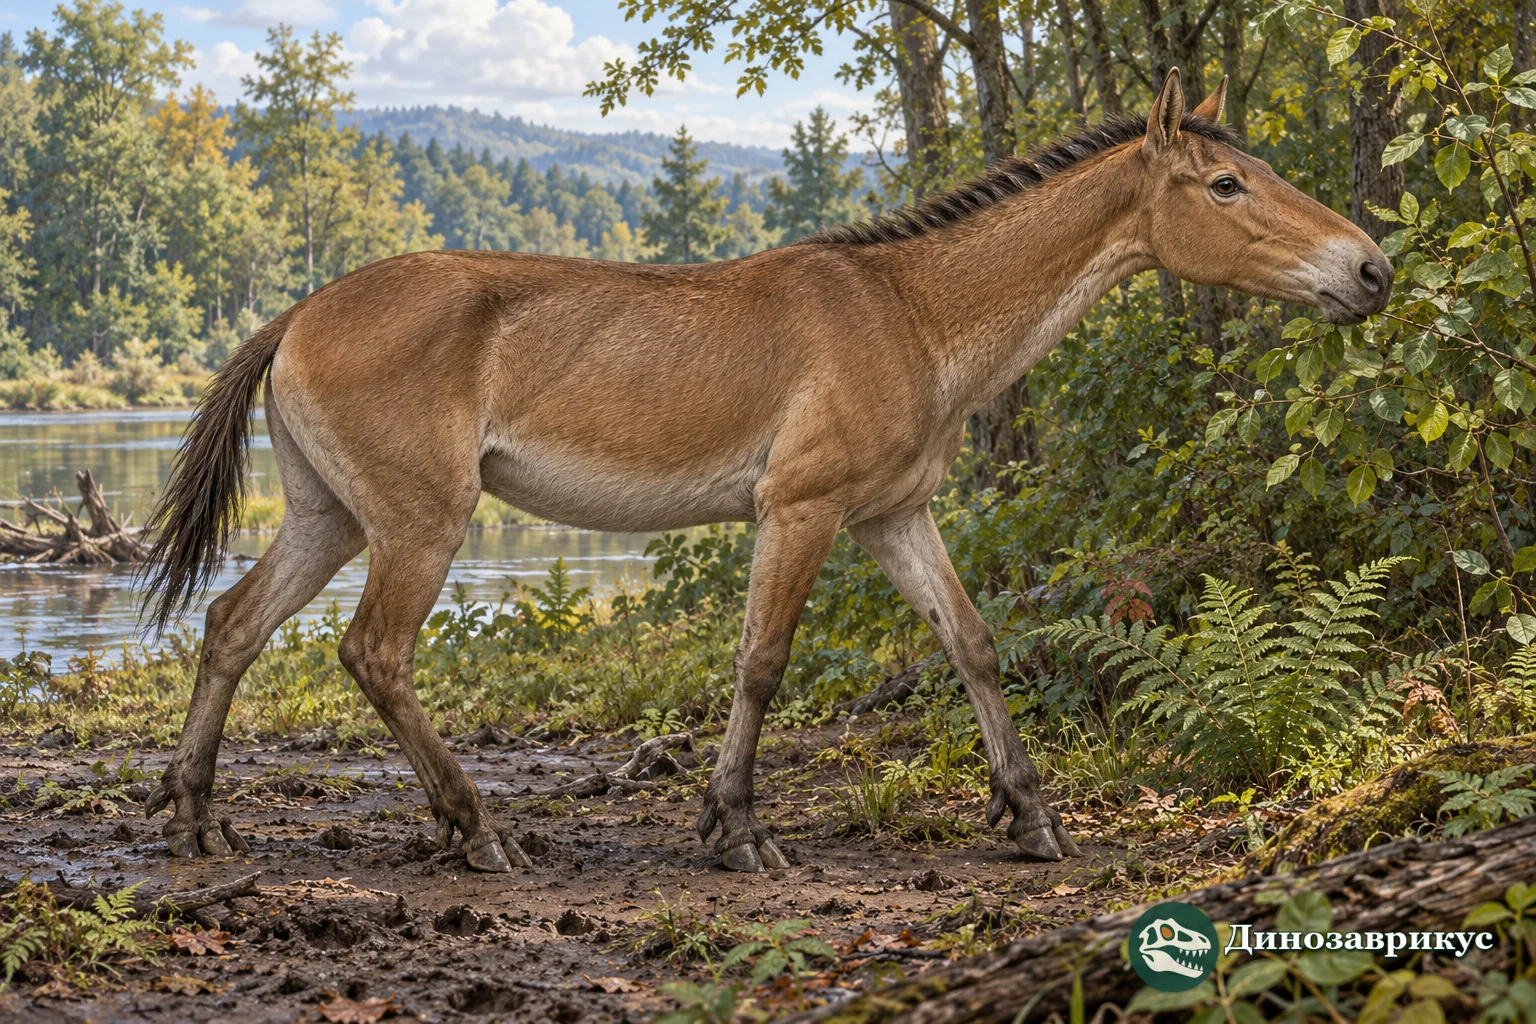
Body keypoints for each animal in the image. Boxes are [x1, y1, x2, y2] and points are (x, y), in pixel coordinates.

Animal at [140, 69, 1392, 873]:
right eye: (1225, 187)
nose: (1372, 269)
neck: (912, 313)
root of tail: (297, 313)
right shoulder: (802, 509)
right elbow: (761, 663)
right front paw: (736, 829)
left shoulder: (895, 516)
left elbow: (974, 644)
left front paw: (1030, 816)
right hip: (419, 523)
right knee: (374, 654)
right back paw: (479, 830)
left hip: (329, 519)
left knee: (233, 625)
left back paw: (198, 820)